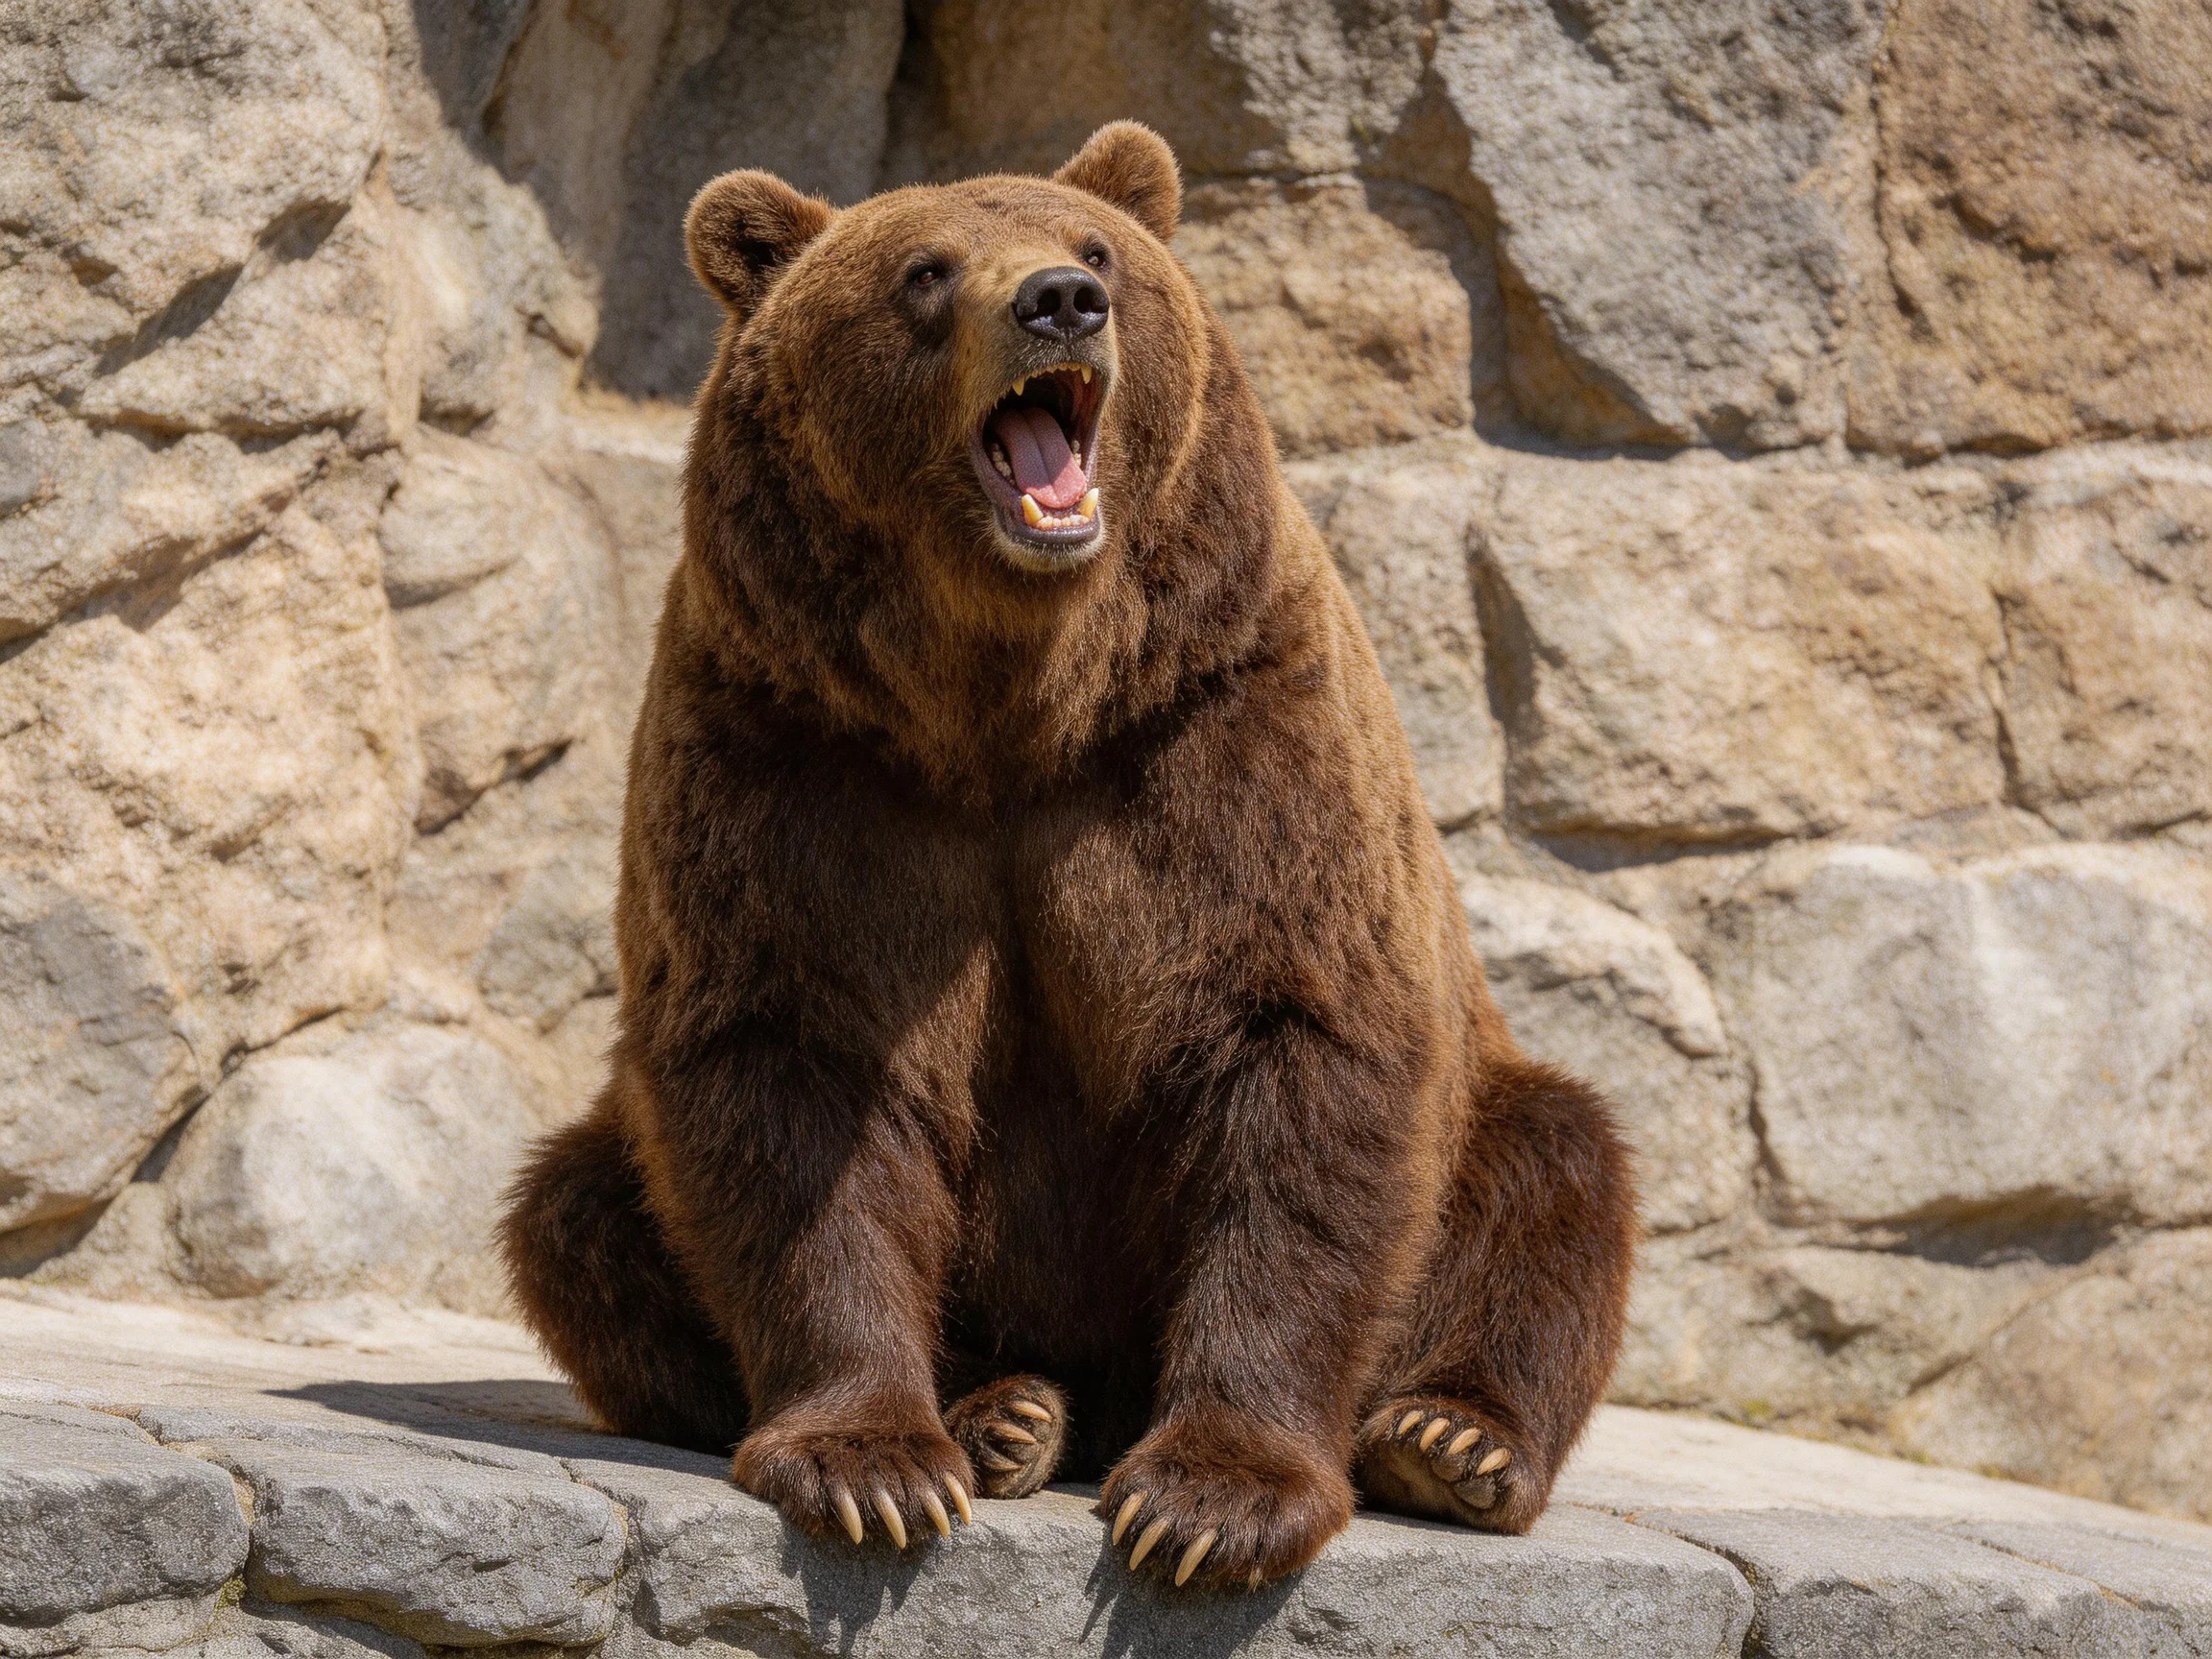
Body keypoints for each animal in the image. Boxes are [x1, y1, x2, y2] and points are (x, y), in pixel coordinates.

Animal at [499, 121, 1637, 1590]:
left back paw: (1449, 1441)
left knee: (1559, 1171)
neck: (1012, 698)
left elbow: (1302, 1049)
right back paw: (1005, 1415)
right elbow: (790, 1076)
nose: (1060, 301)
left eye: (1099, 249)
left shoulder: (1223, 732)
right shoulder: (792, 756)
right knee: (573, 1214)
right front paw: (872, 1465)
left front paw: (1214, 1497)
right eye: (926, 269)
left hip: (1485, 1116)